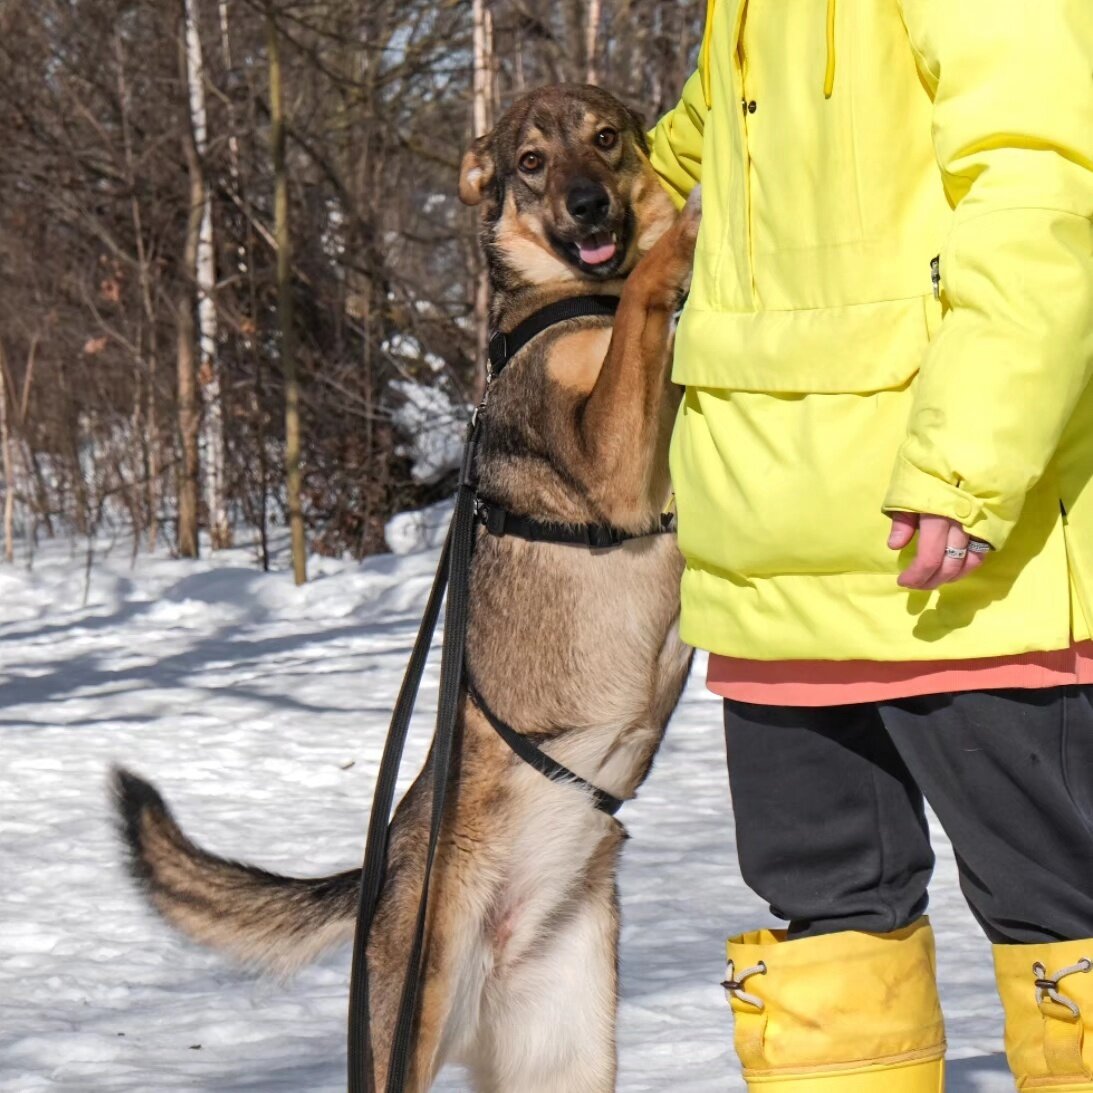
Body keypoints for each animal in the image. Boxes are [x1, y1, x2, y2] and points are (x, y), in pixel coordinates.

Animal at [115, 85, 703, 1093]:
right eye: (531, 163)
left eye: (604, 139)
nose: (588, 207)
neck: (571, 296)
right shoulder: (609, 458)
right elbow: (637, 313)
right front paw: (679, 244)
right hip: (405, 1034)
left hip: (570, 1058)